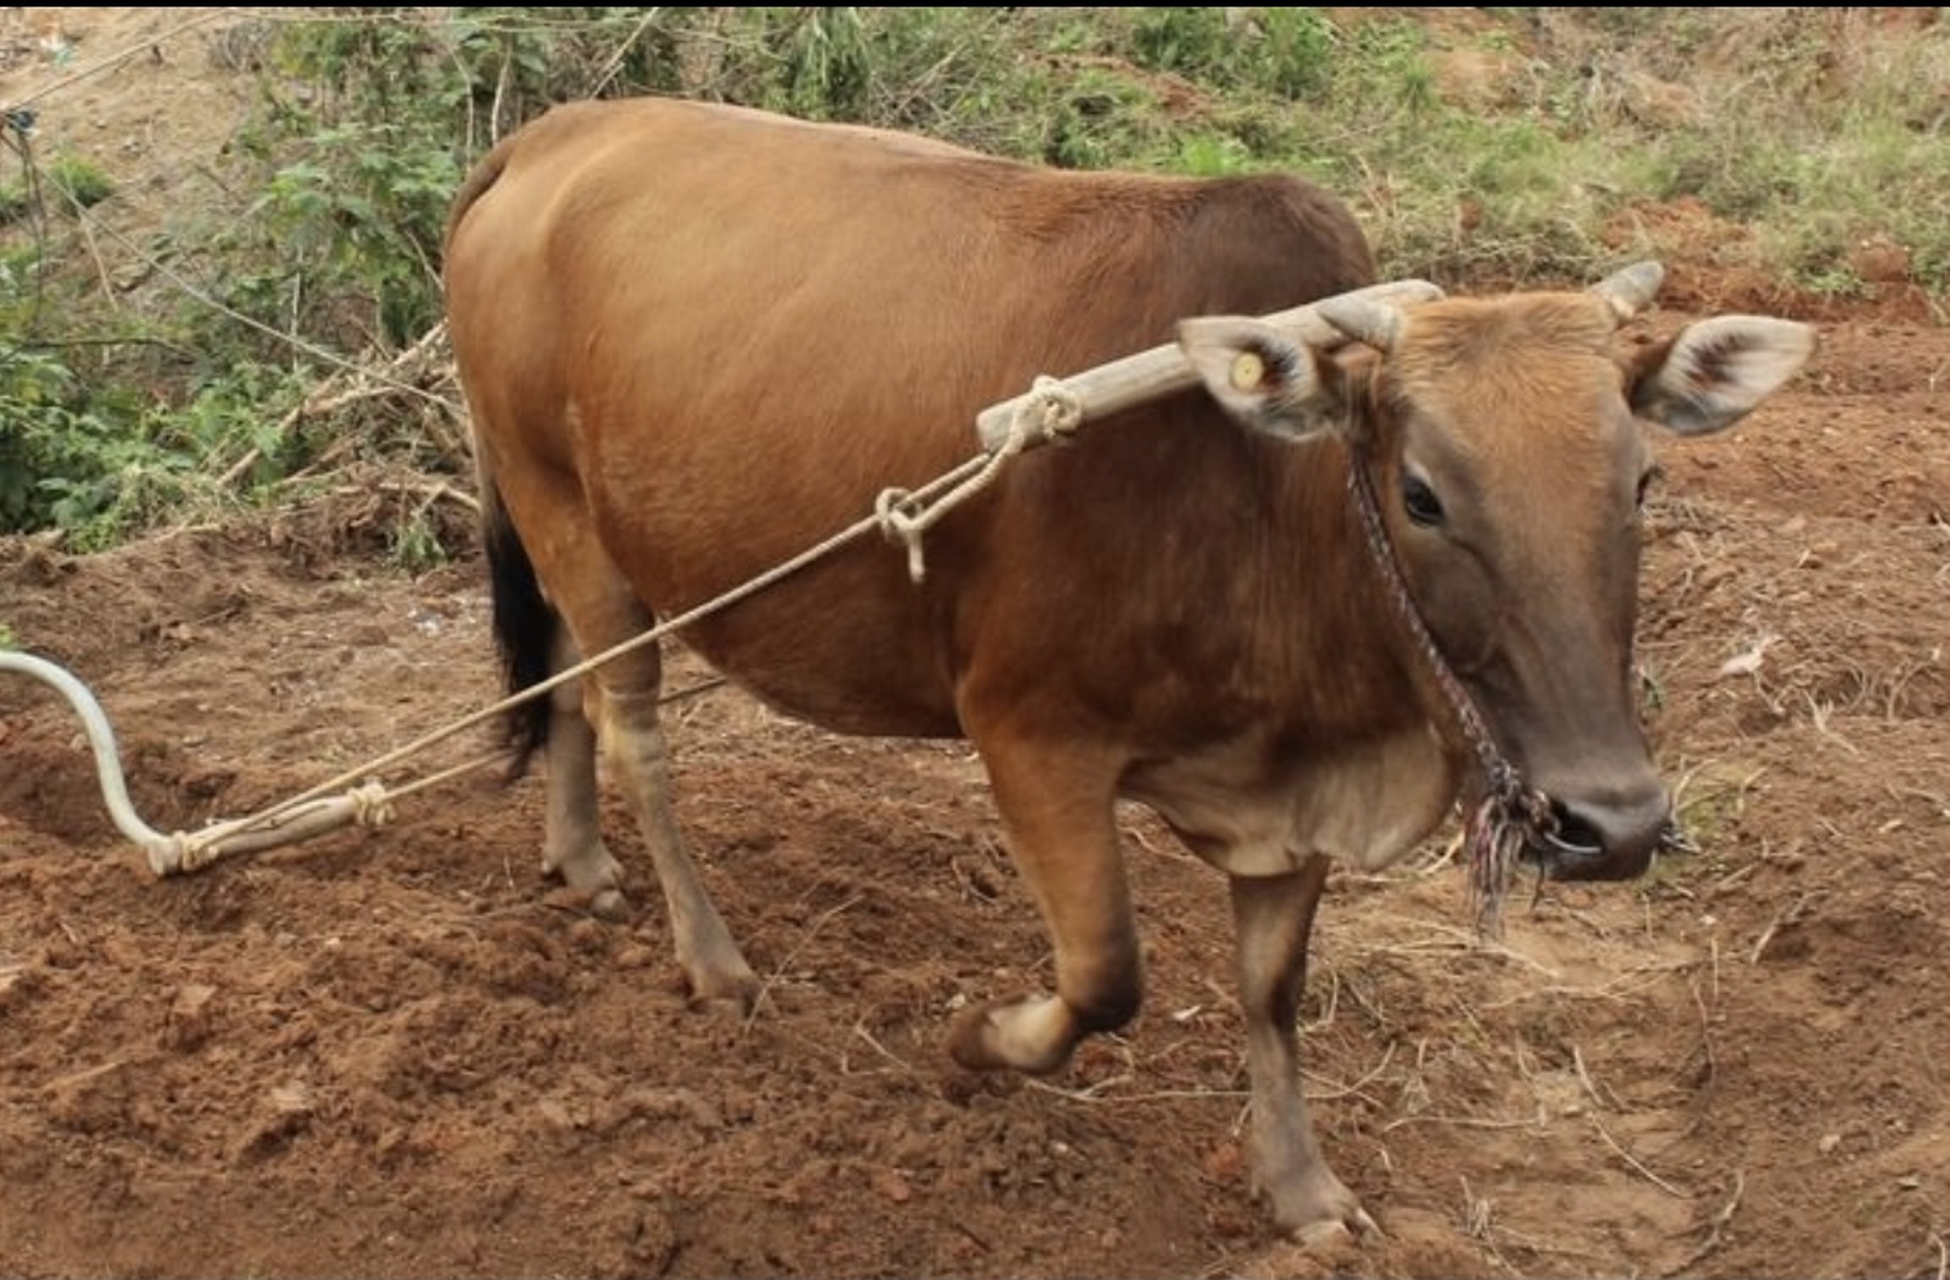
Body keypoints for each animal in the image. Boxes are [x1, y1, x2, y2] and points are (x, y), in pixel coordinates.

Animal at [442, 97, 1809, 1240]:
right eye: (1421, 493)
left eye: (1643, 477)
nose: (1612, 823)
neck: (1263, 495)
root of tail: (553, 135)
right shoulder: (1029, 735)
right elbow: (1105, 973)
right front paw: (976, 1036)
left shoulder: (1290, 794)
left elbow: (1273, 988)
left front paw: (1302, 1189)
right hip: (567, 513)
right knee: (630, 723)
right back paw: (711, 958)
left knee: (558, 678)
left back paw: (581, 862)